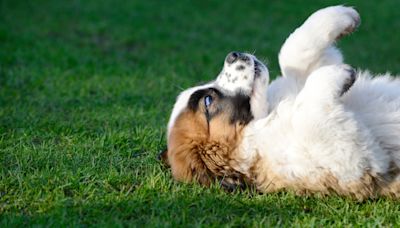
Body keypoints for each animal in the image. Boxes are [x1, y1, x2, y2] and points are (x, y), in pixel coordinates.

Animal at [159, 5, 400, 200]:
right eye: (208, 101)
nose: (232, 54)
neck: (266, 118)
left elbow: (291, 52)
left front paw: (343, 15)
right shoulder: (351, 160)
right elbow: (307, 109)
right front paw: (339, 73)